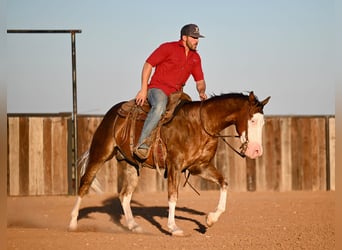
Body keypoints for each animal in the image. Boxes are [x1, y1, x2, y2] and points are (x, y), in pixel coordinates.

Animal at [68, 91, 270, 235]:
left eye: (263, 123)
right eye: (252, 120)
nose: (257, 151)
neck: (200, 125)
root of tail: (111, 114)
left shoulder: (200, 167)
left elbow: (224, 183)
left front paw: (211, 219)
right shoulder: (175, 165)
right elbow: (173, 195)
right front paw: (174, 227)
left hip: (131, 165)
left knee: (125, 195)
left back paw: (134, 226)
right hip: (100, 153)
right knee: (85, 184)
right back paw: (72, 223)